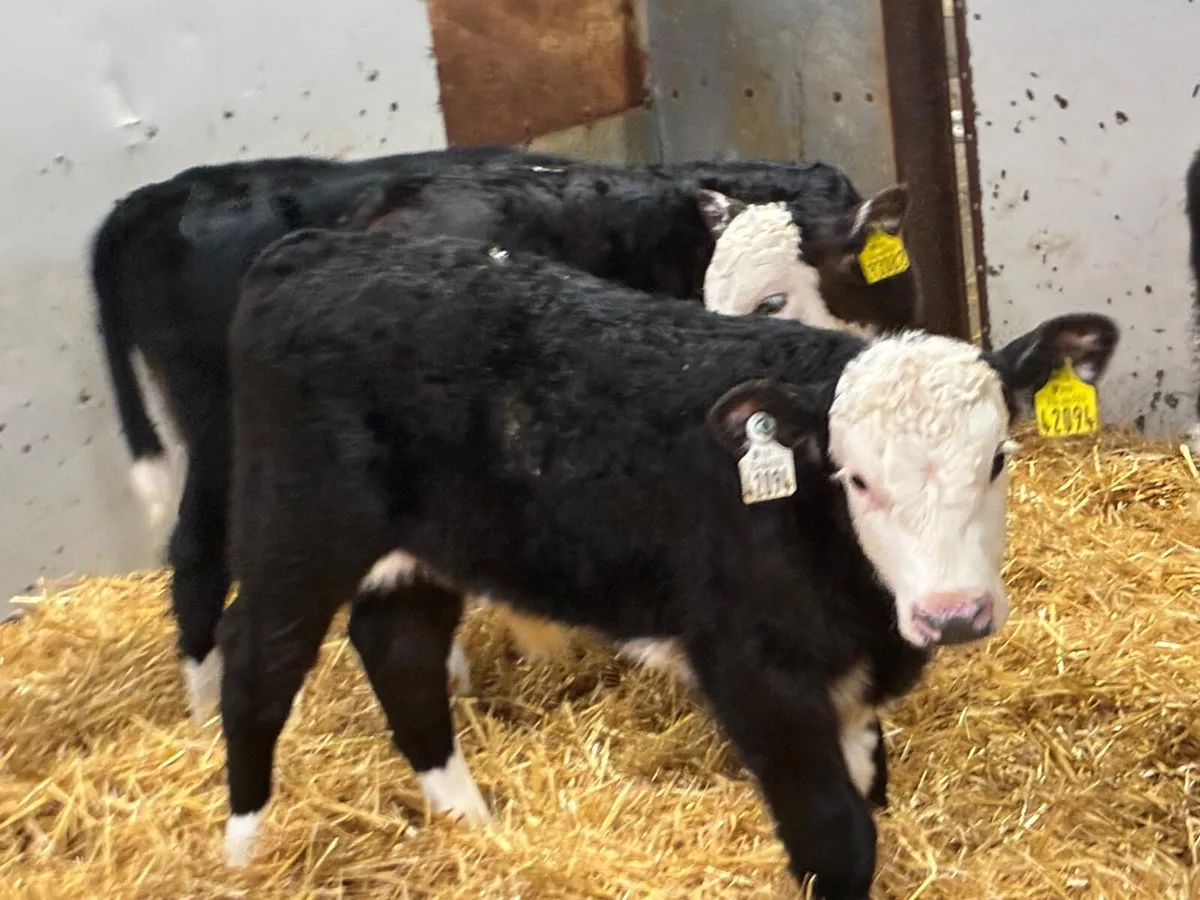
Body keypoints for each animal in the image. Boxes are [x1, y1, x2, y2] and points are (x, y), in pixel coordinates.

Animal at [216, 228, 1118, 900]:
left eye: (997, 458)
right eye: (856, 478)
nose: (953, 613)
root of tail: (312, 249)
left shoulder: (852, 686)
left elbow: (870, 794)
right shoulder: (752, 673)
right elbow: (836, 835)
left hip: (430, 545)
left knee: (399, 652)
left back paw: (469, 823)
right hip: (295, 527)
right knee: (258, 664)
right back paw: (241, 856)